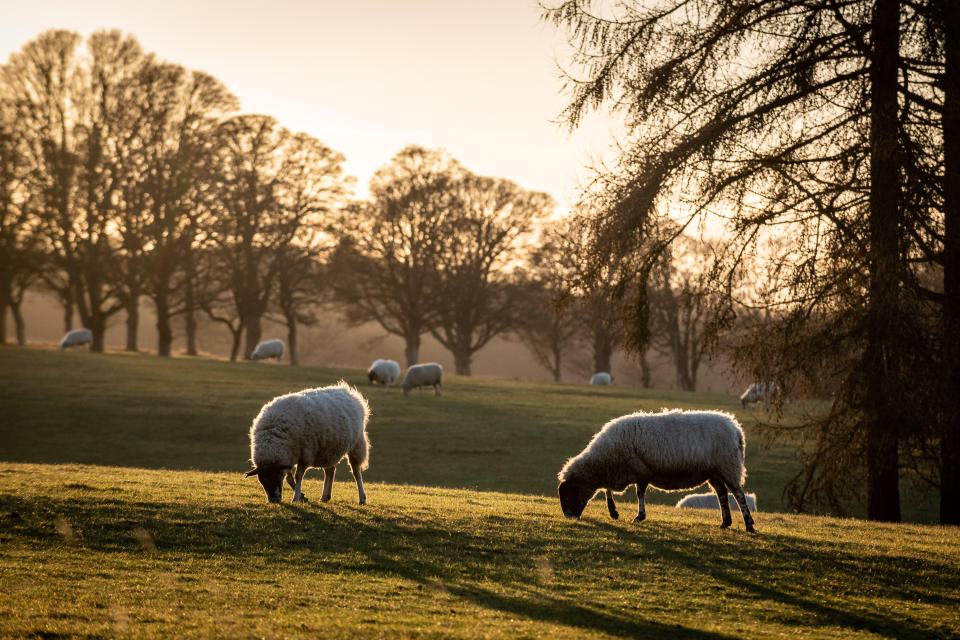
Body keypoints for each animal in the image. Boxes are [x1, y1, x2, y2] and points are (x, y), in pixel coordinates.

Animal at [244, 380, 372, 504]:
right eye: (261, 480)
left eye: (276, 475)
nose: (273, 500)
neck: (273, 433)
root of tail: (348, 391)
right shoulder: (288, 456)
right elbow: (289, 478)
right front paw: (302, 496)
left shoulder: (305, 454)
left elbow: (298, 476)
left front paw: (296, 498)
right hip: (329, 449)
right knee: (330, 471)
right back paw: (325, 496)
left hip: (357, 444)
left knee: (356, 472)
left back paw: (362, 498)